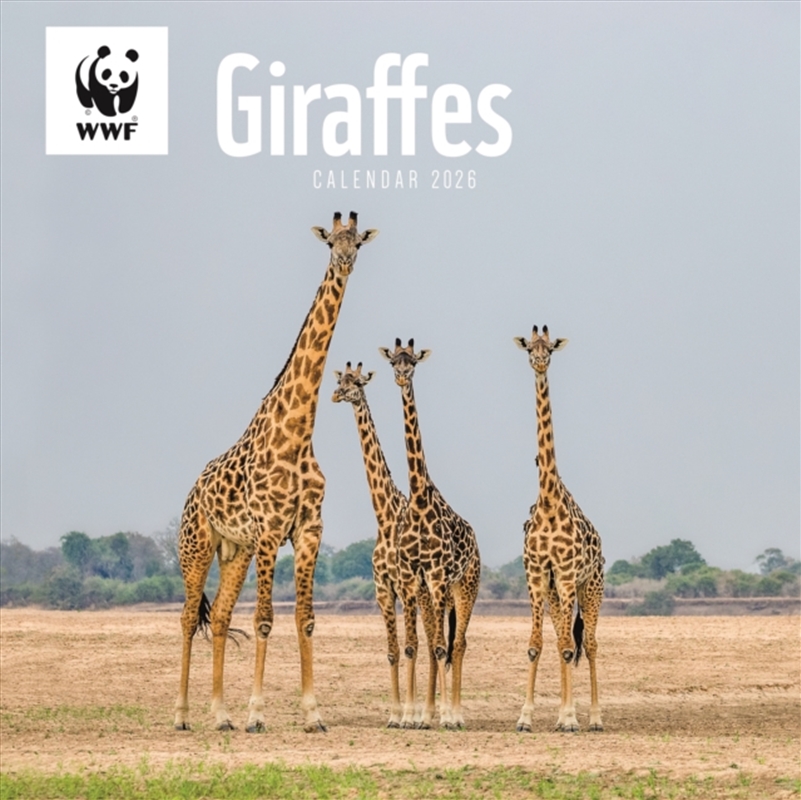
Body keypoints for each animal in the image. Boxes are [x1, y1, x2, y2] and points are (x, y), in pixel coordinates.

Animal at [174, 211, 378, 734]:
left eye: (357, 243)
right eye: (330, 241)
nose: (344, 261)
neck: (299, 433)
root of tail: (192, 492)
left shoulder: (307, 529)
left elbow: (305, 617)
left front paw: (313, 714)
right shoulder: (269, 530)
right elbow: (265, 617)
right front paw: (257, 713)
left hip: (235, 550)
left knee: (219, 617)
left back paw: (220, 715)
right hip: (198, 544)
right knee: (187, 617)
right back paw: (183, 715)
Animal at [379, 339, 481, 729]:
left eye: (414, 362)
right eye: (394, 360)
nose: (401, 376)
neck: (420, 501)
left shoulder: (436, 575)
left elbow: (440, 646)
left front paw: (440, 717)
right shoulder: (411, 577)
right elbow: (413, 645)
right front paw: (411, 716)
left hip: (464, 586)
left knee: (458, 644)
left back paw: (455, 714)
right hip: (436, 591)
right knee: (441, 641)